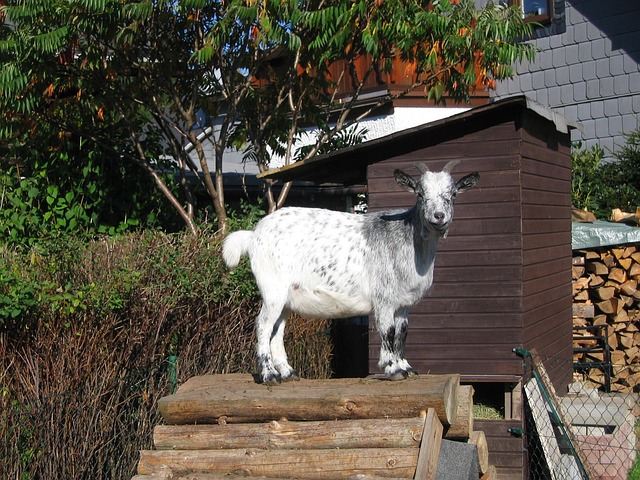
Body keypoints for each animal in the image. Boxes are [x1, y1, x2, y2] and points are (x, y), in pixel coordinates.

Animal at [222, 161, 479, 385]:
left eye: (453, 194)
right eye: (420, 194)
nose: (438, 216)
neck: (409, 241)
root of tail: (253, 235)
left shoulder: (403, 303)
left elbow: (402, 332)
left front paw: (406, 366)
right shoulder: (384, 298)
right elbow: (388, 331)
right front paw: (393, 369)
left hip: (286, 297)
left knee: (277, 329)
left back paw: (287, 373)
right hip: (272, 289)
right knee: (263, 325)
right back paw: (269, 375)